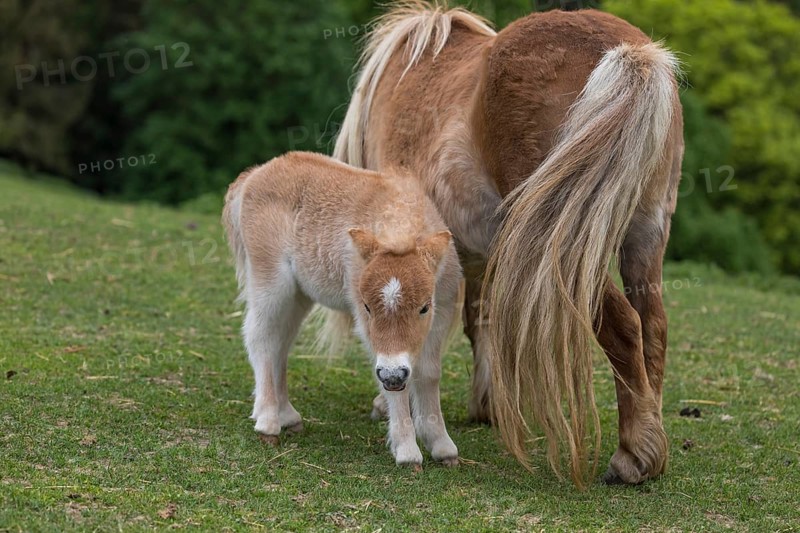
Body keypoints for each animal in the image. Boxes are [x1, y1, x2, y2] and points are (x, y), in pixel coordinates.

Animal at [222, 151, 461, 468]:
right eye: (368, 307)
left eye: (424, 308)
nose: (393, 373)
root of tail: (254, 175)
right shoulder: (364, 320)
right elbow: (395, 387)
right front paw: (408, 452)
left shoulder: (442, 311)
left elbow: (430, 372)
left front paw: (443, 446)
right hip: (270, 279)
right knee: (260, 336)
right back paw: (268, 422)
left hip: (299, 293)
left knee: (280, 342)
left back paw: (289, 417)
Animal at [332, 1, 684, 487]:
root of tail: (632, 54)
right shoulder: (478, 249)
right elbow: (480, 317)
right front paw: (487, 403)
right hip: (644, 236)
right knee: (653, 326)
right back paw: (652, 437)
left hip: (571, 248)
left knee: (624, 326)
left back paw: (632, 455)